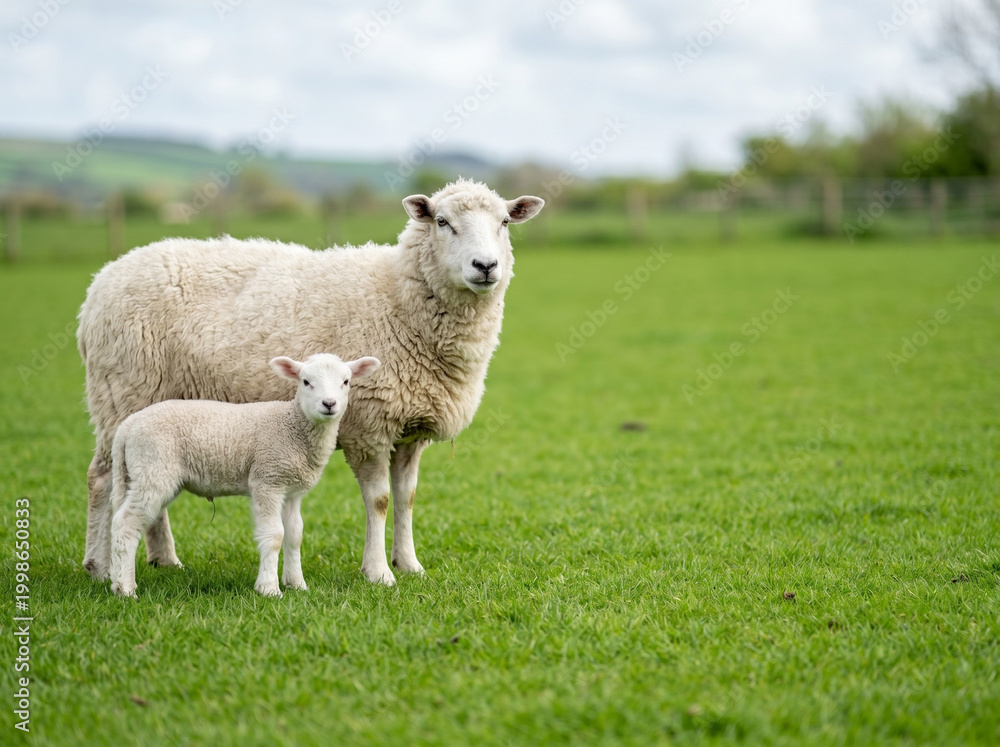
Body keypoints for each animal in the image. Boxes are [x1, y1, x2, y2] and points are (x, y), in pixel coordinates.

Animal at [108, 353, 381, 598]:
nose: (329, 404)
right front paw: (269, 589)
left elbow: (294, 535)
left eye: (346, 381)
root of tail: (126, 427)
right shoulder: (267, 479)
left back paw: (116, 580)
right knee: (125, 524)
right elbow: (274, 535)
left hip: (139, 473)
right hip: (152, 468)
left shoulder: (292, 489)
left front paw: (296, 584)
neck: (293, 425)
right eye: (305, 381)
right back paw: (126, 590)